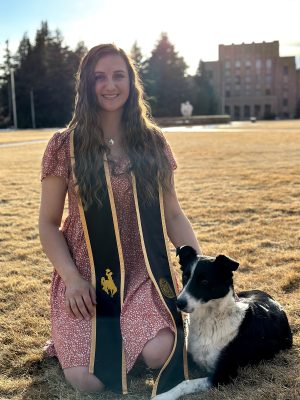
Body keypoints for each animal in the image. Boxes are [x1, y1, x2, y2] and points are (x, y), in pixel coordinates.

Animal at [155, 247, 292, 400]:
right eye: (185, 277)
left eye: (204, 282)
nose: (179, 303)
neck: (209, 319)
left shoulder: (223, 375)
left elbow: (186, 383)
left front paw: (164, 395)